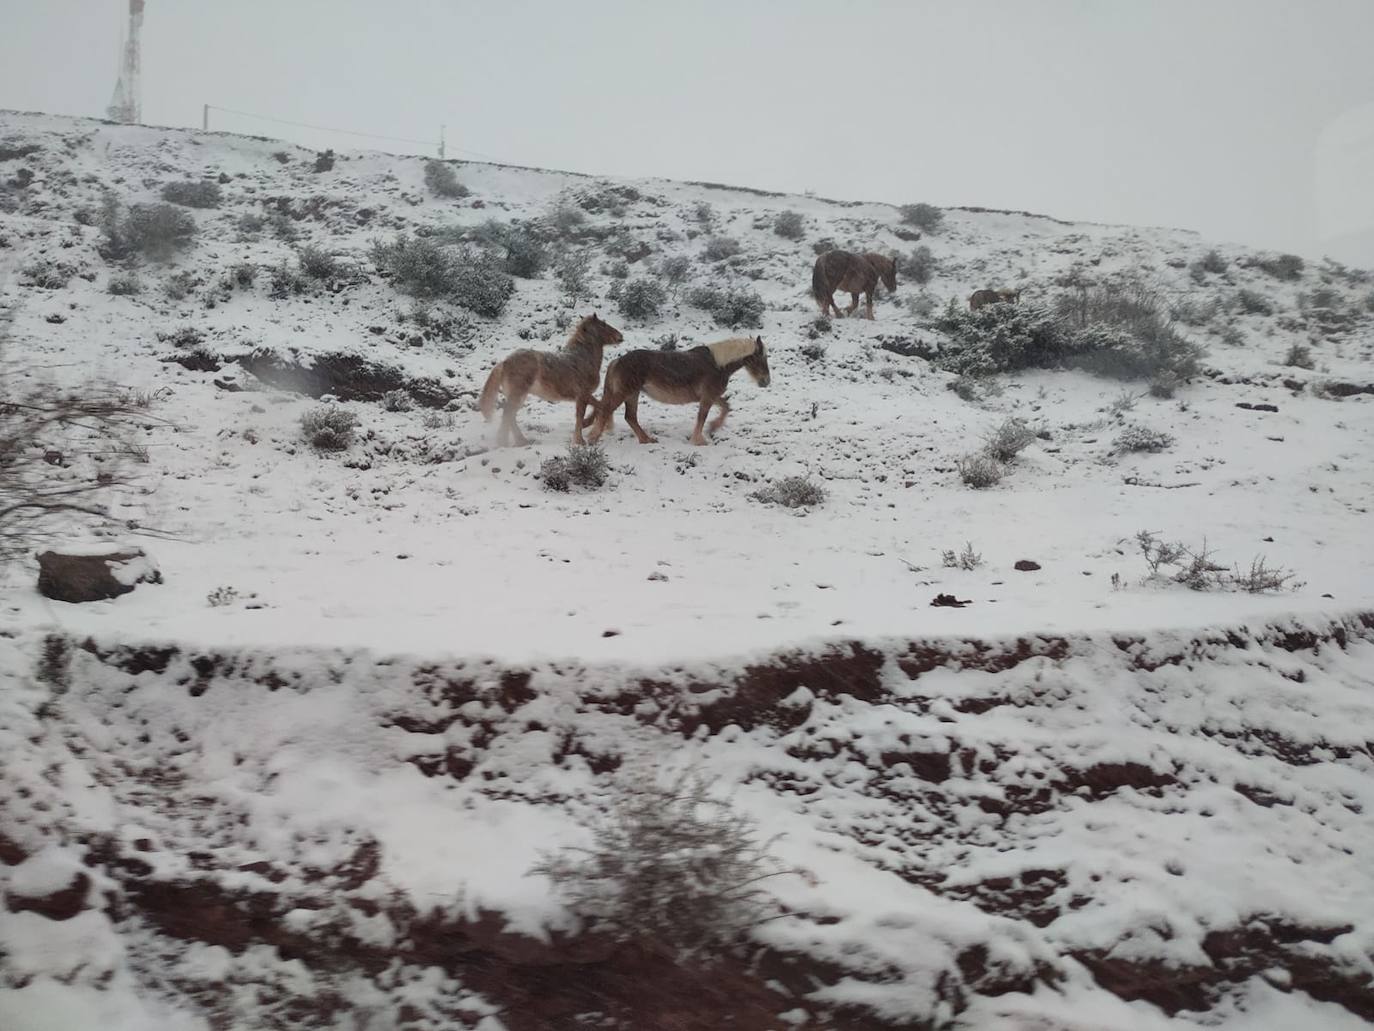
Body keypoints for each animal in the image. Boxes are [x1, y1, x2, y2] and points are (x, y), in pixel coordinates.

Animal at [585, 336, 769, 445]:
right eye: (761, 357)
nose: (766, 381)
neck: (717, 365)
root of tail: (617, 361)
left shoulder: (711, 396)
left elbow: (726, 407)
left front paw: (713, 428)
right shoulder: (708, 397)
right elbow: (702, 417)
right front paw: (699, 440)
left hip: (633, 394)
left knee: (630, 417)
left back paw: (646, 439)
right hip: (625, 393)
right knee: (607, 410)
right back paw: (593, 438)